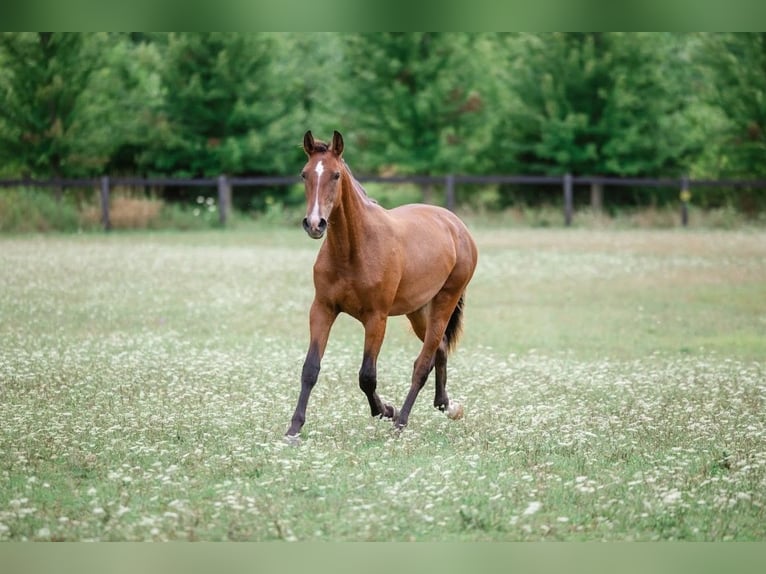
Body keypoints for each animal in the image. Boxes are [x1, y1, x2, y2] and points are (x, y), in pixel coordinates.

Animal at [285, 130, 478, 438]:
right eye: (305, 174)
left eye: (336, 175)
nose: (315, 224)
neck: (353, 249)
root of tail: (456, 225)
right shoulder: (322, 309)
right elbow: (310, 368)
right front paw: (294, 428)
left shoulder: (376, 318)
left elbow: (367, 376)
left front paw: (386, 410)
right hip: (418, 310)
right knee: (439, 349)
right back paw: (446, 406)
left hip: (444, 302)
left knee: (423, 363)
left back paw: (402, 422)